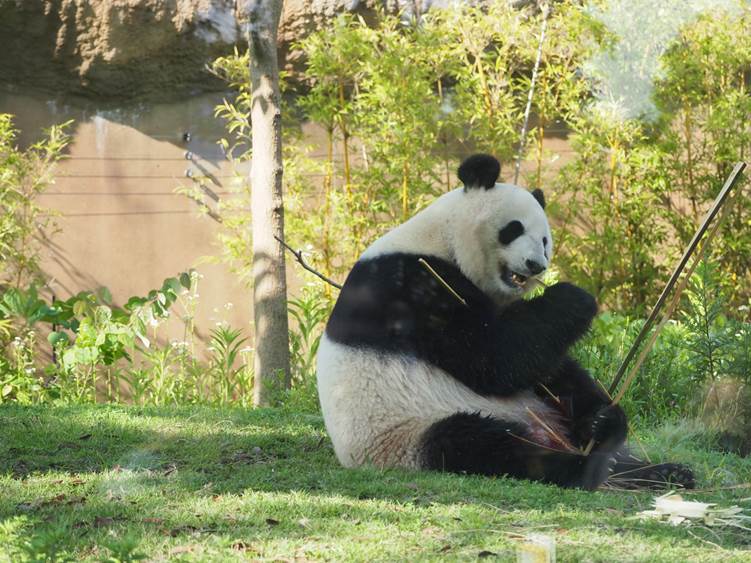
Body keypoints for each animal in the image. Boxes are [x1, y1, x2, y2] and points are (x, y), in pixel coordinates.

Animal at [316, 156, 692, 492]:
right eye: (514, 229)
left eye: (545, 240)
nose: (536, 265)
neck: (440, 238)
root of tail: (548, 433)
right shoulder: (411, 285)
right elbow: (492, 357)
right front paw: (575, 297)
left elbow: (535, 352)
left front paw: (604, 418)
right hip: (408, 434)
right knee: (479, 444)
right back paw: (582, 468)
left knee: (563, 383)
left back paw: (637, 452)